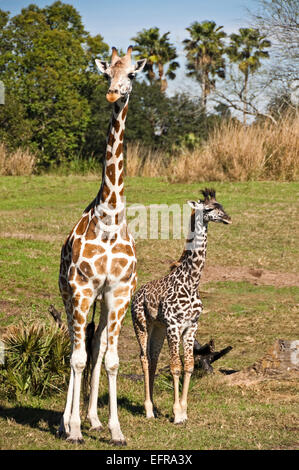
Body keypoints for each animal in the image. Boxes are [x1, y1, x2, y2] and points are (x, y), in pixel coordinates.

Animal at [131, 189, 232, 424]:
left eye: (221, 206)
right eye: (209, 208)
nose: (228, 218)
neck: (192, 282)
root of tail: (136, 294)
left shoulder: (191, 325)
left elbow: (189, 366)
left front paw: (184, 412)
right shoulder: (174, 325)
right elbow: (176, 367)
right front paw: (176, 414)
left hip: (158, 328)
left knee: (153, 358)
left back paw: (153, 409)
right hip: (141, 324)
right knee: (143, 357)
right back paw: (147, 409)